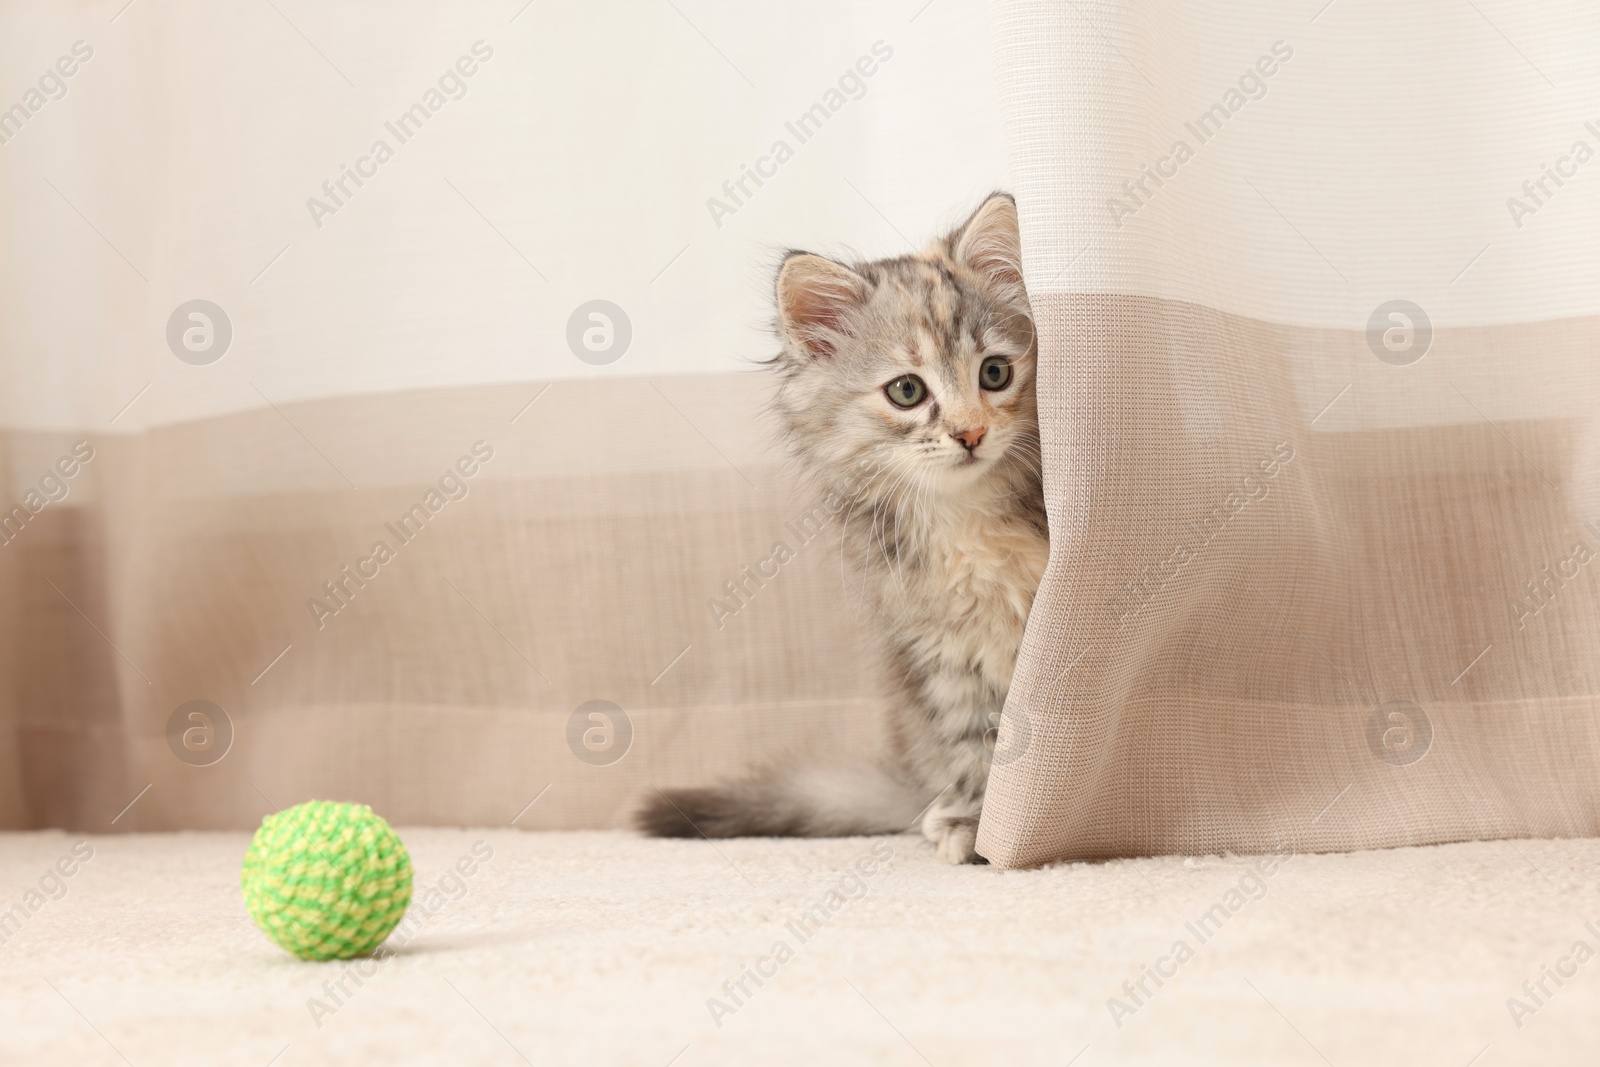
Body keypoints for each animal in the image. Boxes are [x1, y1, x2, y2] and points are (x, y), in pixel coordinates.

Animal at [636, 189, 1049, 857]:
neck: (966, 521)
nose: (970, 433)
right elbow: (980, 743)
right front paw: (981, 824)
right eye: (907, 391)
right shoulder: (942, 654)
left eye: (995, 373)